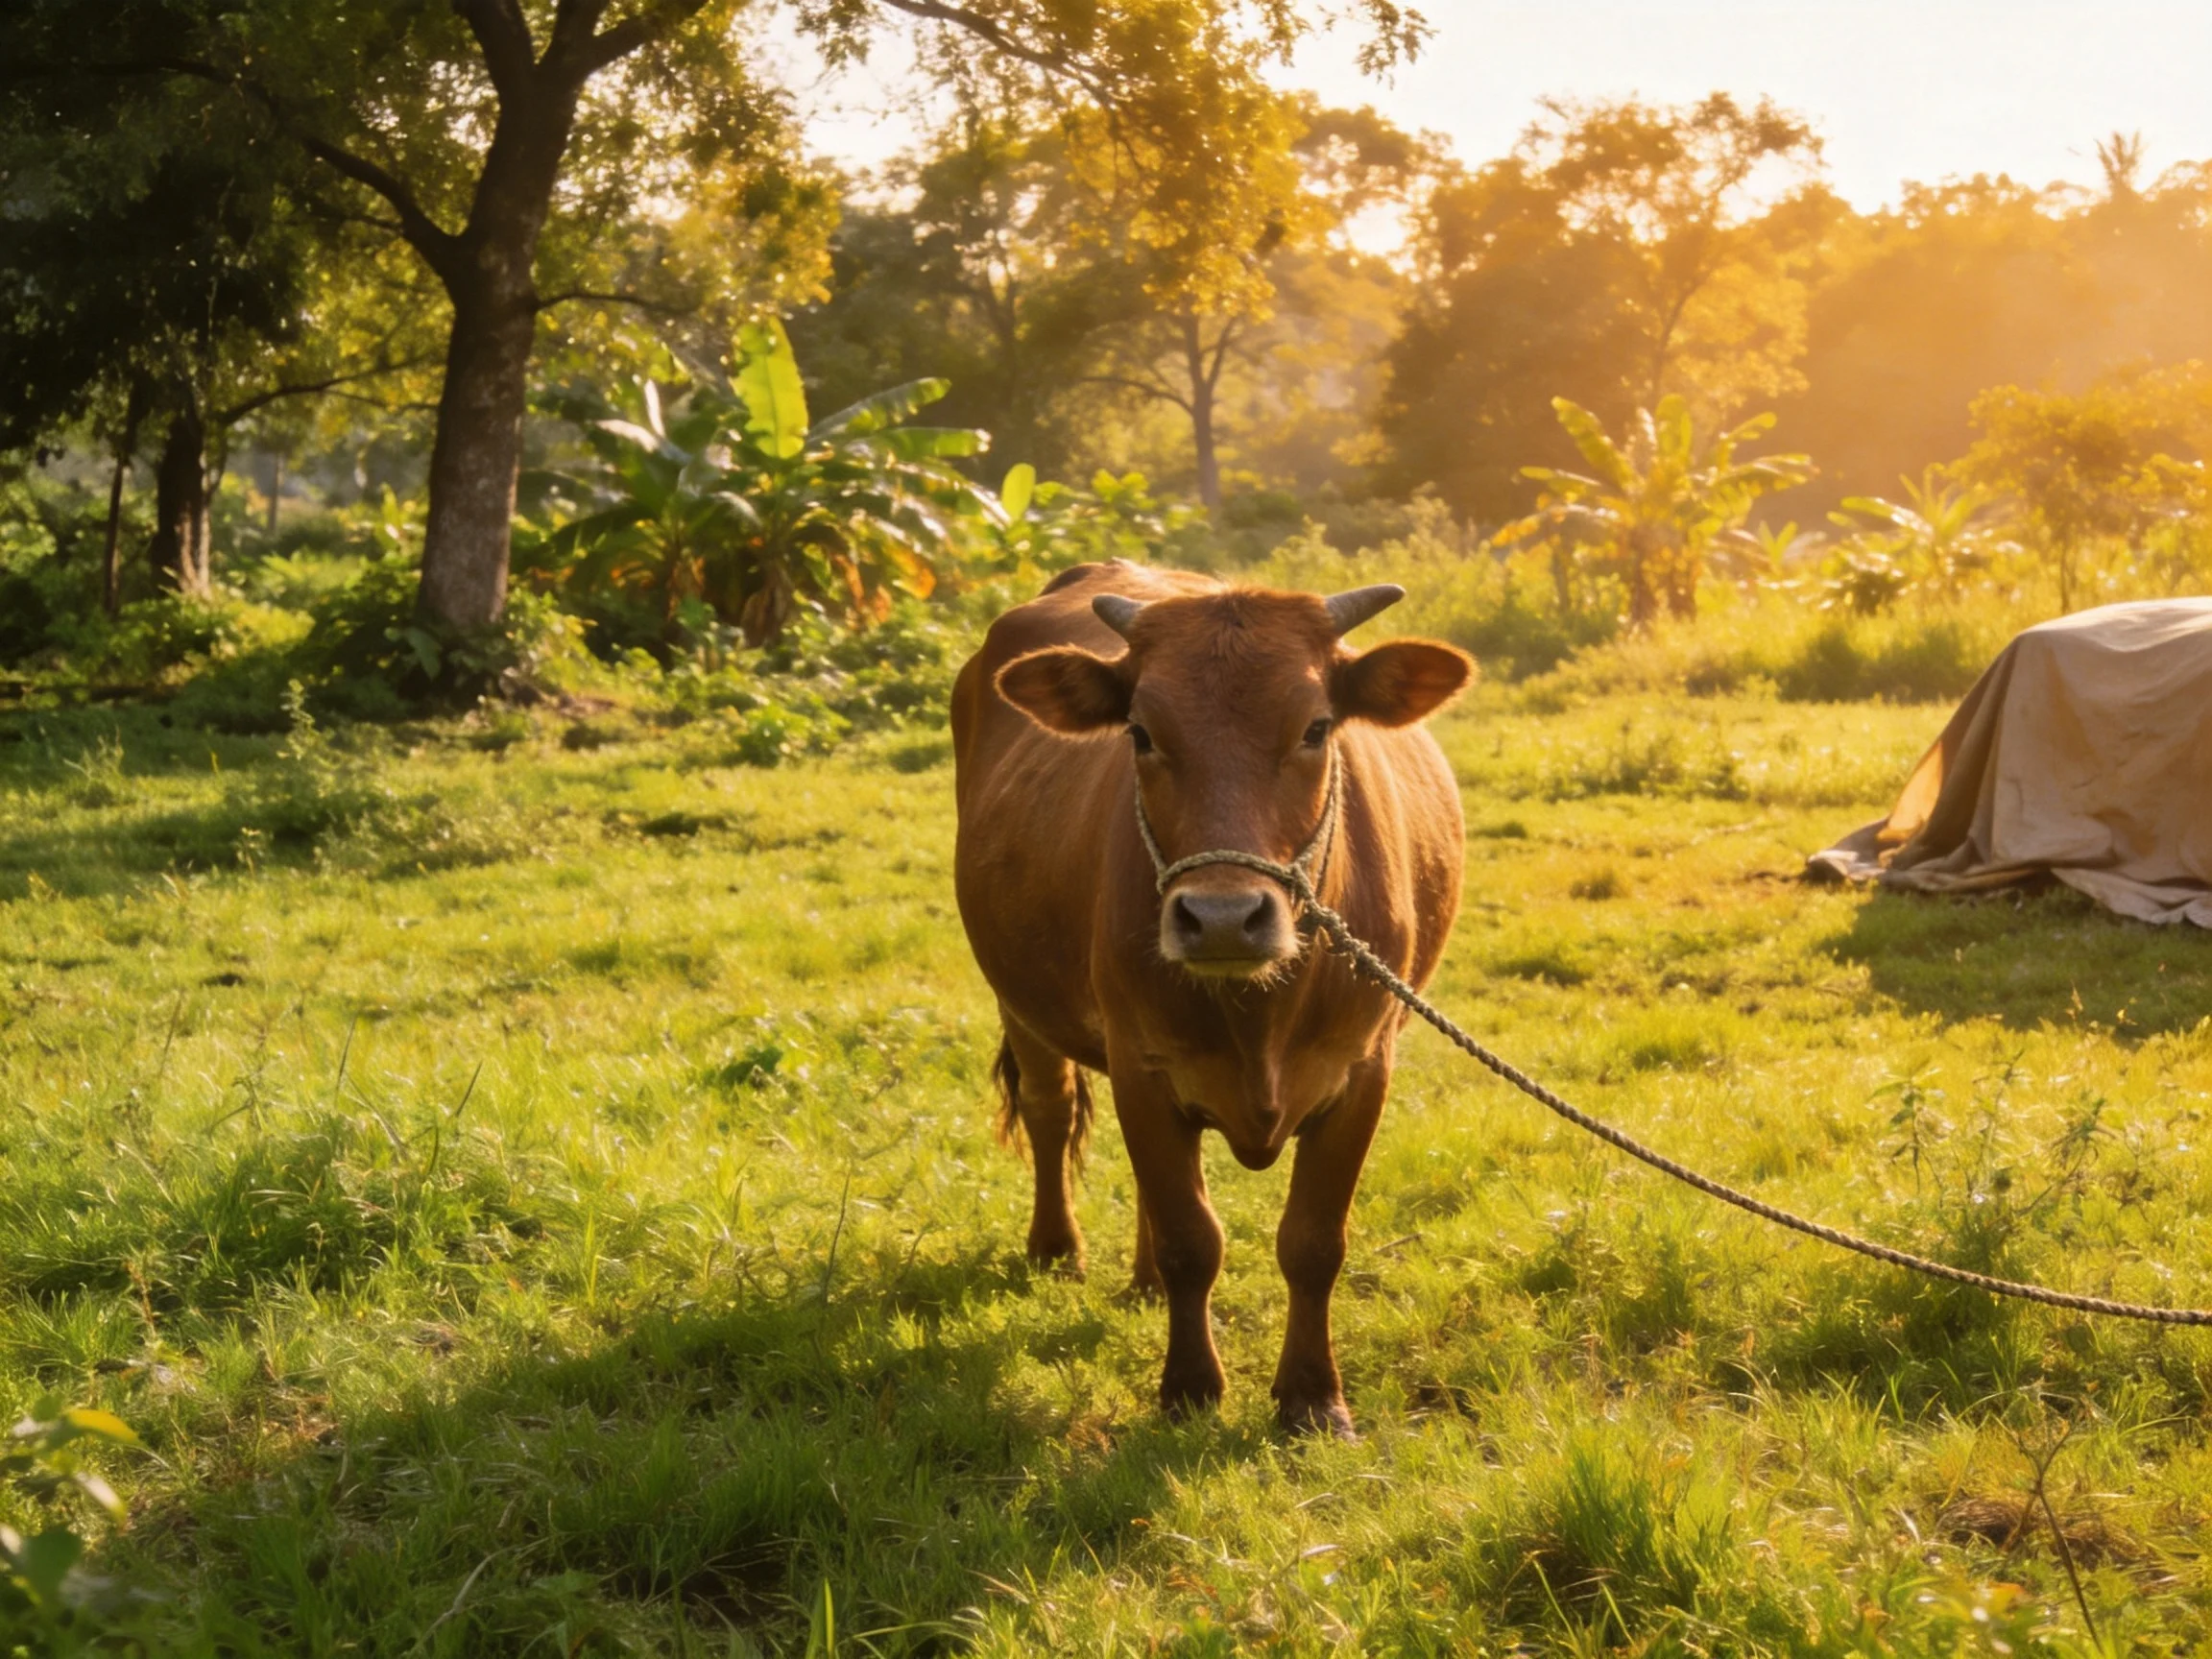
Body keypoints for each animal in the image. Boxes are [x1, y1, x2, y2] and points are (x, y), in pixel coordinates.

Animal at [950, 560, 1471, 1437]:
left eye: (1316, 728)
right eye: (1140, 734)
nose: (1222, 916)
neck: (1258, 1015)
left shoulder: (1363, 1071)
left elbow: (1313, 1242)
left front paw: (1312, 1397)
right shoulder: (1143, 1067)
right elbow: (1193, 1240)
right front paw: (1190, 1388)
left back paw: (1141, 1283)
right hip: (1017, 999)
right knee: (1052, 1111)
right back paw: (1057, 1251)